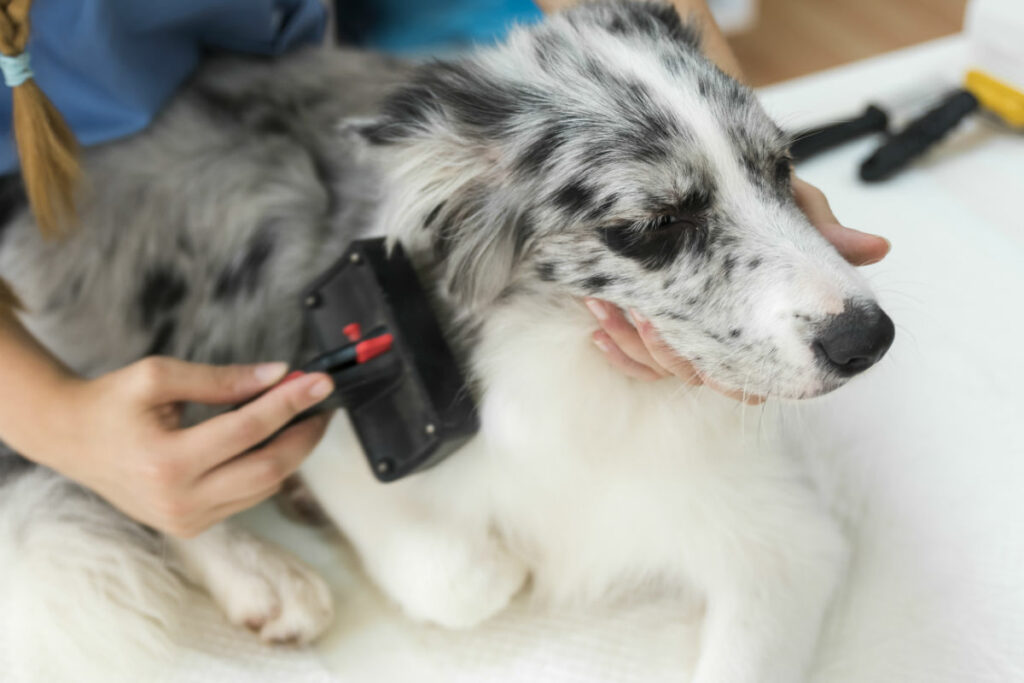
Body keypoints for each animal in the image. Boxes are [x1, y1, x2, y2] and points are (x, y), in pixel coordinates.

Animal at [0, 2, 888, 679]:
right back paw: (264, 576)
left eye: (782, 166)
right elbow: (467, 578)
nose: (869, 338)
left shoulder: (784, 539)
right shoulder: (324, 413)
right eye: (656, 224)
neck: (572, 362)